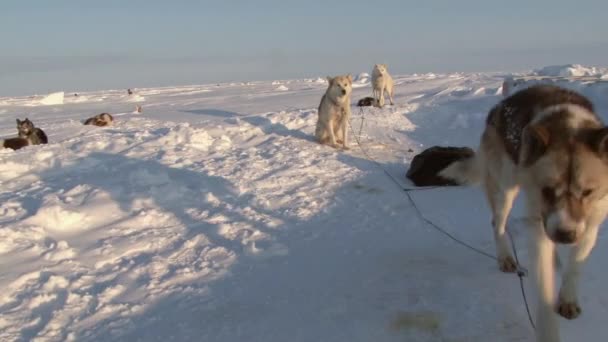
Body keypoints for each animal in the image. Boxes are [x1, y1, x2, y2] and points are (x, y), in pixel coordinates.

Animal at [440, 83, 608, 342]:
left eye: (588, 192)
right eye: (547, 190)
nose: (565, 236)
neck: (568, 124)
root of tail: (499, 106)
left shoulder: (590, 225)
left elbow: (575, 267)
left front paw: (568, 298)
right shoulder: (540, 228)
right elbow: (544, 295)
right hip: (505, 190)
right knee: (497, 223)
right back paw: (506, 257)